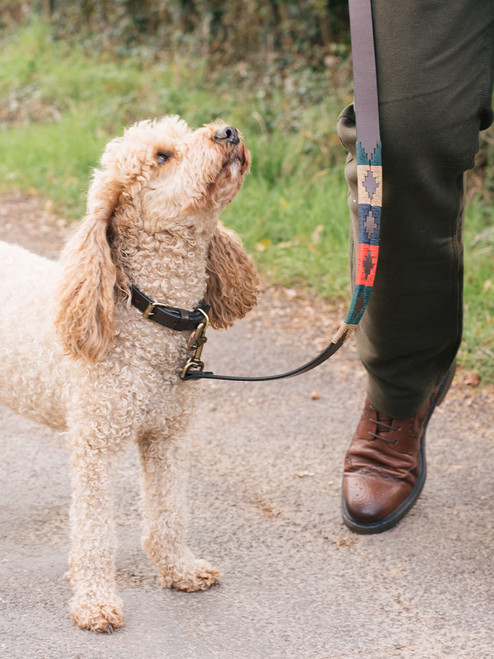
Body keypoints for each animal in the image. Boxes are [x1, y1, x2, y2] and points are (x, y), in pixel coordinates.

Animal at [0, 116, 260, 632]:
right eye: (162, 156)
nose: (228, 131)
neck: (148, 315)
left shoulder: (166, 436)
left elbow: (169, 512)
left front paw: (180, 569)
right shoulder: (94, 445)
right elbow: (95, 534)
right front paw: (95, 601)